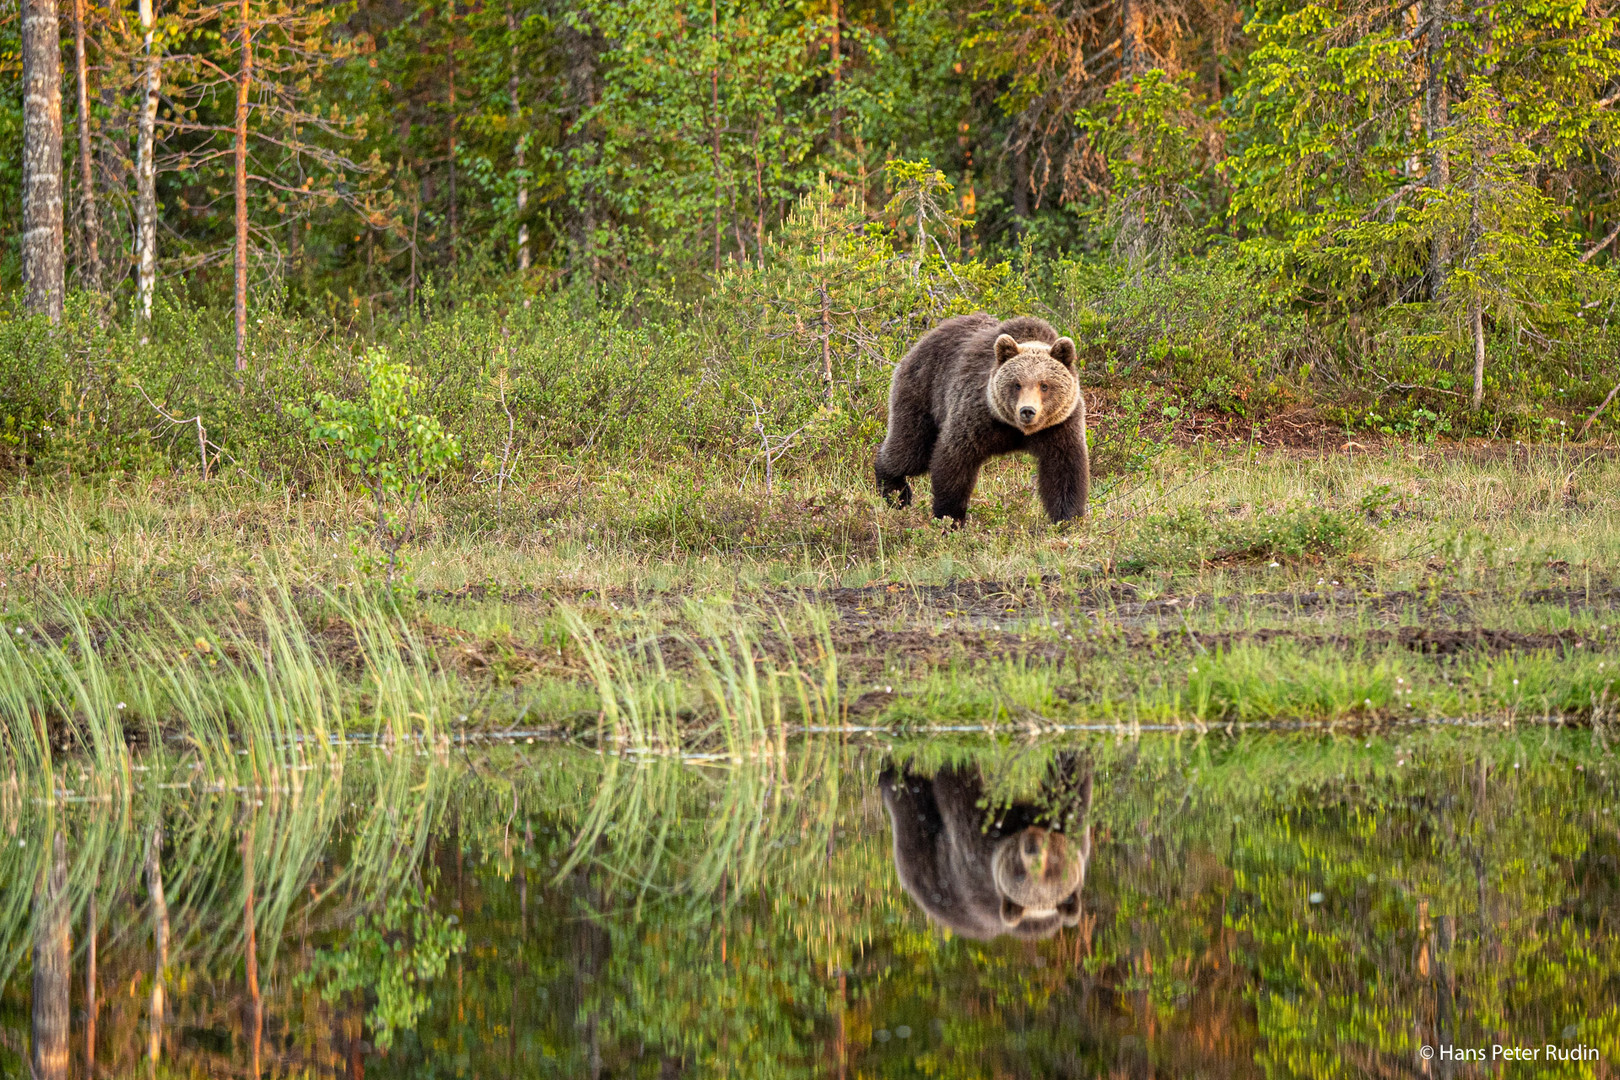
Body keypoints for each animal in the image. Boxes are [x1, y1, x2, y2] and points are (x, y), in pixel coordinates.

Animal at [874, 312, 1088, 524]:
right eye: (1017, 384)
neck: (1016, 430)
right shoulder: (978, 417)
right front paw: (950, 517)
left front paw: (1067, 519)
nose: (1027, 411)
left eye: (1044, 385)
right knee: (911, 449)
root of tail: (926, 337)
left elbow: (1064, 471)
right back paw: (895, 491)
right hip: (923, 391)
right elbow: (955, 460)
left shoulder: (1059, 426)